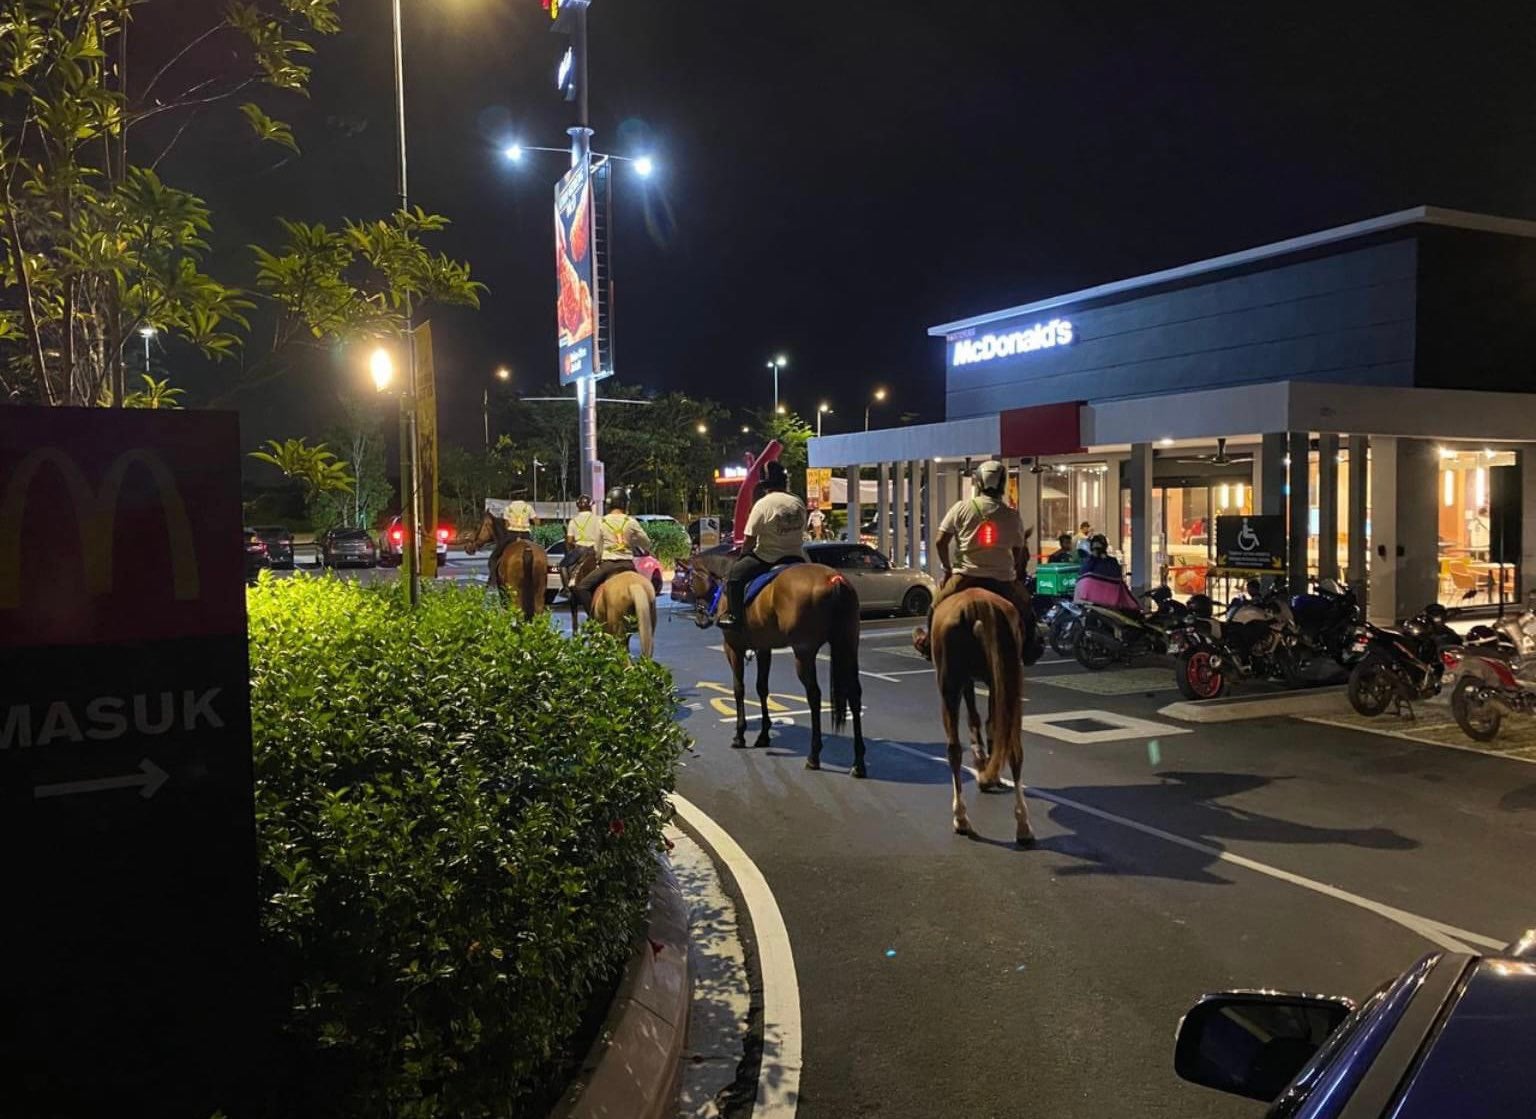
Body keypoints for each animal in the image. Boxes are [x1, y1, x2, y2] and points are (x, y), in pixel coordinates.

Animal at [694, 561, 872, 773]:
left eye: (689, 580)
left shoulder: (733, 648)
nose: (698, 618)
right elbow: (762, 688)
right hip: (848, 645)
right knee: (854, 694)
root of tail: (834, 579)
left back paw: (814, 755)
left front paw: (740, 734)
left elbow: (739, 689)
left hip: (804, 652)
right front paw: (763, 734)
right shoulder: (763, 648)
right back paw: (858, 762)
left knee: (814, 696)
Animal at [927, 589, 1038, 841]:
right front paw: (987, 769)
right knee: (1014, 748)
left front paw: (982, 766)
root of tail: (977, 606)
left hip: (950, 687)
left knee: (954, 750)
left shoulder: (968, 682)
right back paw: (1023, 824)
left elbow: (976, 720)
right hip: (1009, 681)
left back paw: (961, 818)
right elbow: (988, 722)